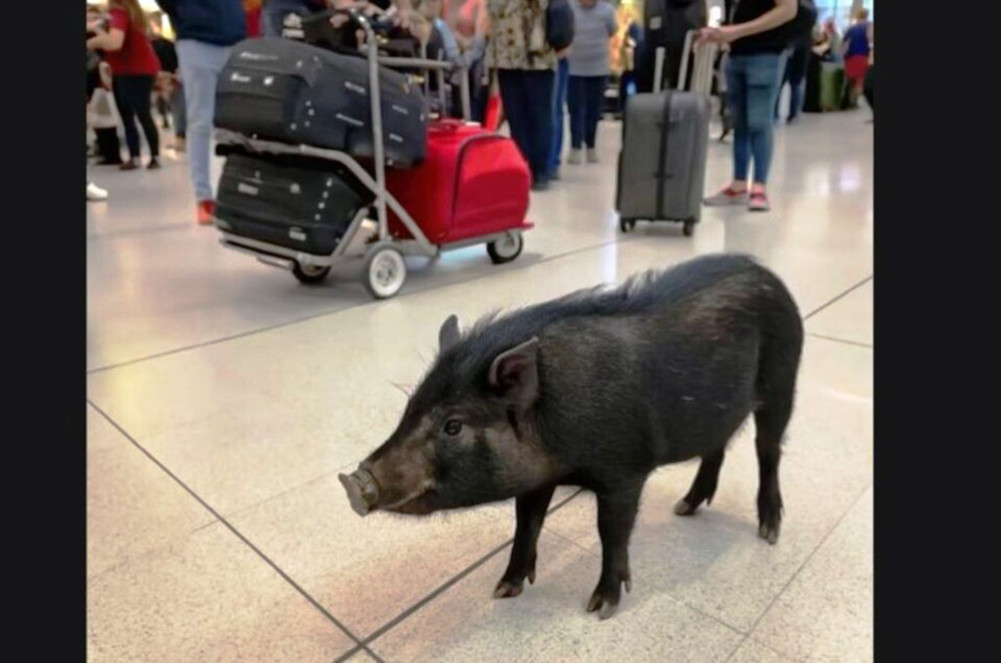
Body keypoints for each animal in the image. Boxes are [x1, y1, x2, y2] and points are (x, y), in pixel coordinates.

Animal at [339, 253, 803, 619]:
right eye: (410, 409)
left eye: (453, 425)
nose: (353, 480)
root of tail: (768, 273)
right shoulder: (537, 478)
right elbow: (526, 523)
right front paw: (503, 590)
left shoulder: (624, 471)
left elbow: (611, 531)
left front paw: (600, 608)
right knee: (718, 446)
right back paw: (685, 507)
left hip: (784, 380)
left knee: (768, 450)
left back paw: (769, 531)